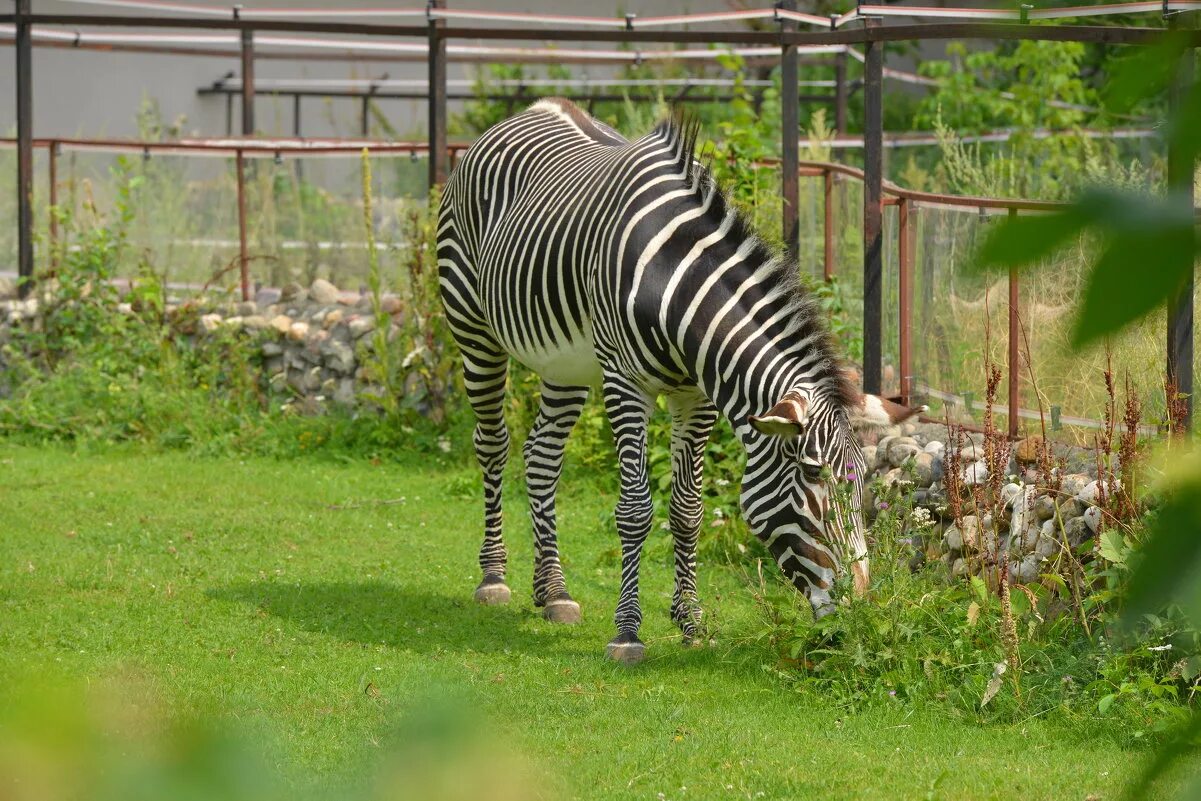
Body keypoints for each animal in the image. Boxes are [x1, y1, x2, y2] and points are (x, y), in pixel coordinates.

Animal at [437, 100, 922, 662]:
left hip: (565, 361)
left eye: (864, 480)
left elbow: (688, 509)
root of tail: (535, 108)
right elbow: (635, 509)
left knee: (541, 457)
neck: (675, 283)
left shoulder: (698, 395)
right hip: (473, 328)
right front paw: (627, 632)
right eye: (813, 476)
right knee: (493, 444)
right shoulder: (625, 383)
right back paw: (494, 577)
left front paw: (691, 622)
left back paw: (553, 591)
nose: (860, 608)